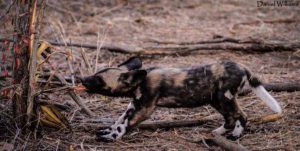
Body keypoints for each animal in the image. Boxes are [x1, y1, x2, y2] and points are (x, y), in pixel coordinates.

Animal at [79, 57, 282, 142]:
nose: (81, 79)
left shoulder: (143, 109)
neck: (140, 82)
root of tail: (242, 66)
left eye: (98, 80)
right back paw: (217, 132)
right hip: (216, 100)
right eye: (95, 75)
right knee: (230, 118)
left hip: (224, 98)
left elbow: (124, 125)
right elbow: (119, 120)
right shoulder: (133, 105)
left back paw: (235, 136)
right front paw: (107, 131)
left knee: (242, 116)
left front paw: (112, 137)